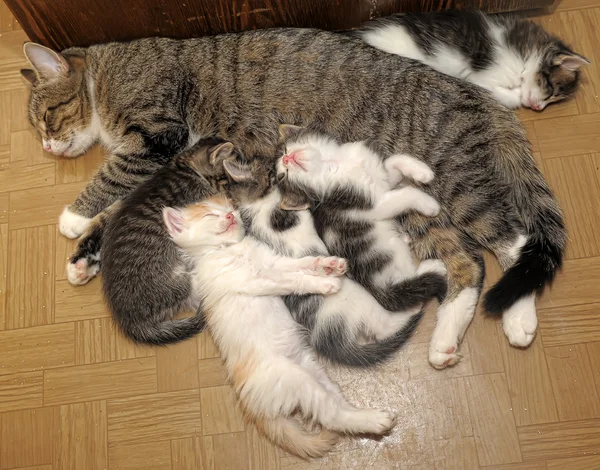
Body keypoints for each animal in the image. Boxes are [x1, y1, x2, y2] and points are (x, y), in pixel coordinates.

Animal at [165, 193, 398, 458]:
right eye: (210, 214)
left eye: (229, 208)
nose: (230, 216)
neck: (231, 248)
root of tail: (254, 407)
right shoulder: (256, 279)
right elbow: (291, 280)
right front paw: (325, 284)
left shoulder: (272, 262)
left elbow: (298, 264)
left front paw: (327, 265)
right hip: (296, 380)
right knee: (330, 415)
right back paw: (376, 421)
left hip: (313, 369)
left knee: (333, 410)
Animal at [358, 11, 588, 110]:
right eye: (551, 90)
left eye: (554, 100)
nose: (539, 108)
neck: (525, 53)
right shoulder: (481, 78)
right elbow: (510, 96)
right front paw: (516, 94)